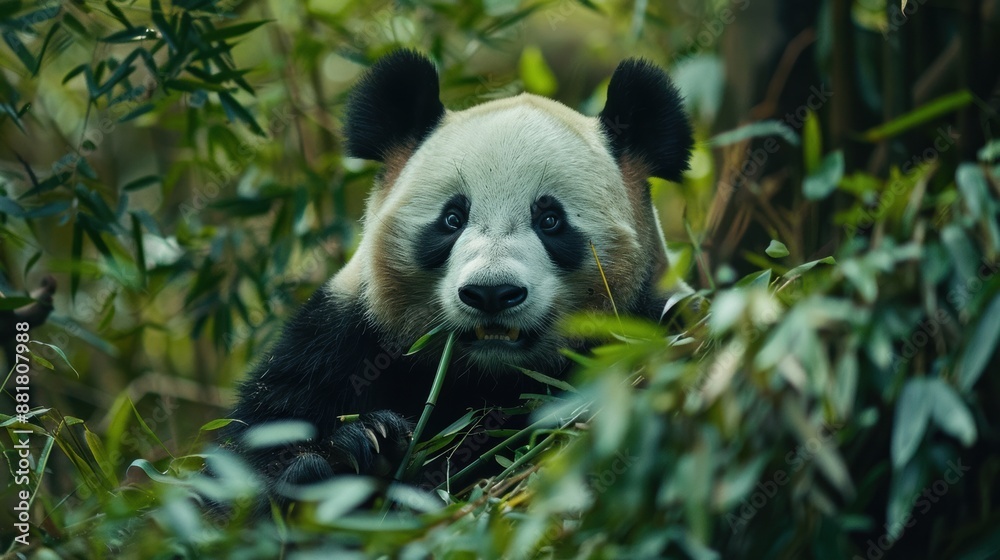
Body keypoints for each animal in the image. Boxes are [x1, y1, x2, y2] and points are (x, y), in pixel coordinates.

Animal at [222, 49, 693, 503]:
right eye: (452, 218)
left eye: (551, 220)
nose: (492, 293)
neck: (488, 374)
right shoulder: (341, 340)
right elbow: (258, 440)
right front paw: (359, 446)